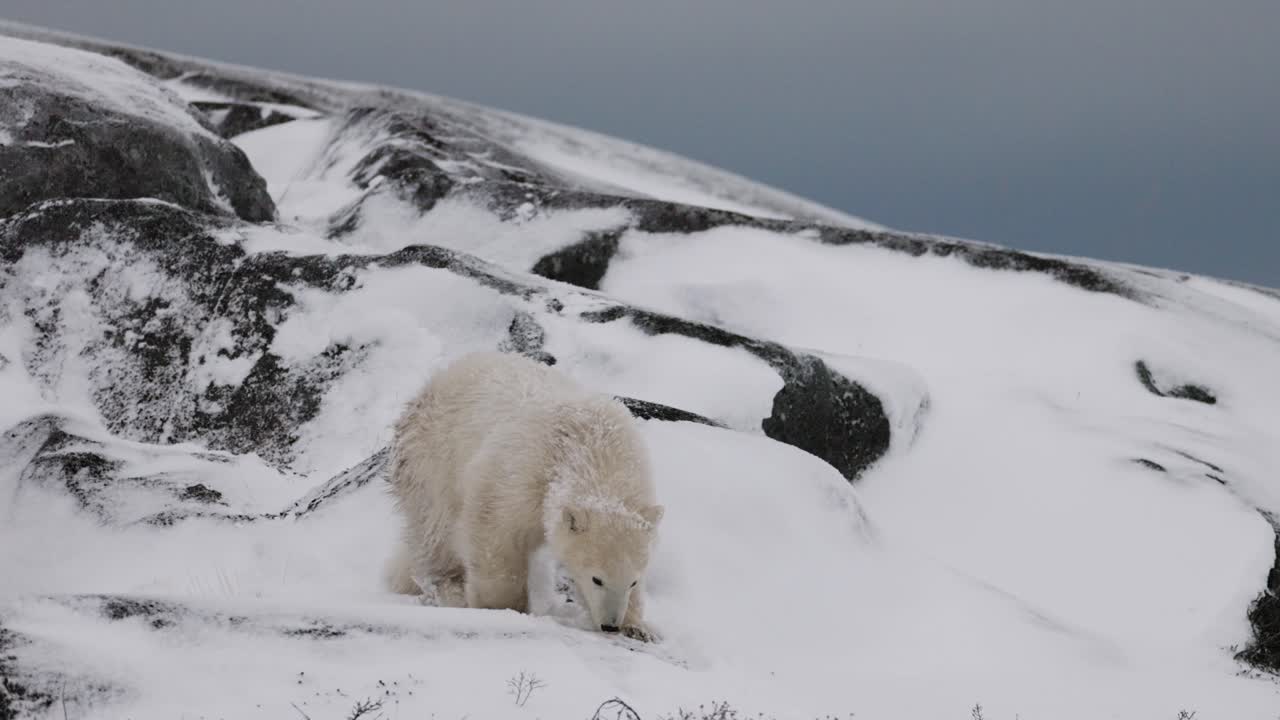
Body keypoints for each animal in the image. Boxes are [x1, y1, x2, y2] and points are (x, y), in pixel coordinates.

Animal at [384, 350, 664, 642]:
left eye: (633, 581)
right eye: (597, 579)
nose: (611, 624)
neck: (591, 445)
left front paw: (638, 627)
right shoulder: (520, 474)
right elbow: (495, 534)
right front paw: (501, 606)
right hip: (432, 462)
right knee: (436, 533)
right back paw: (446, 586)